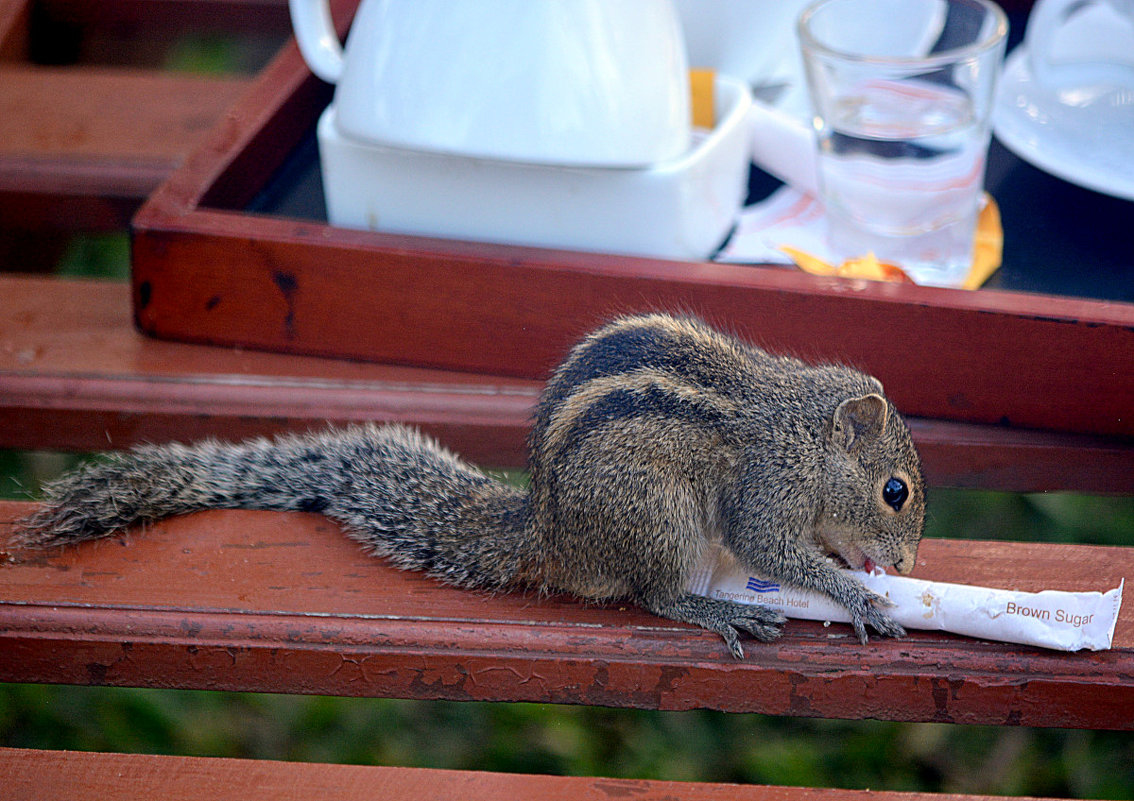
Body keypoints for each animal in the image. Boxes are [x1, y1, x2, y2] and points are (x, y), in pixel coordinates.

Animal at [13, 313, 925, 653]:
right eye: (895, 492)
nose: (910, 567)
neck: (801, 432)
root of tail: (548, 531)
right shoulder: (763, 492)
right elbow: (776, 551)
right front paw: (856, 594)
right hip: (654, 514)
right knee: (653, 592)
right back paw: (717, 609)